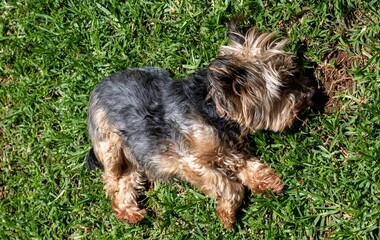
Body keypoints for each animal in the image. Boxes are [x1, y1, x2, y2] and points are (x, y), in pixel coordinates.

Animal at [86, 17, 314, 229]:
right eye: (284, 85)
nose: (311, 94)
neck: (214, 109)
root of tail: (96, 89)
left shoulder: (228, 149)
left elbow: (248, 165)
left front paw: (267, 182)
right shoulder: (190, 160)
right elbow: (230, 186)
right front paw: (227, 214)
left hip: (135, 156)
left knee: (126, 181)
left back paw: (129, 213)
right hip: (109, 144)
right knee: (111, 179)